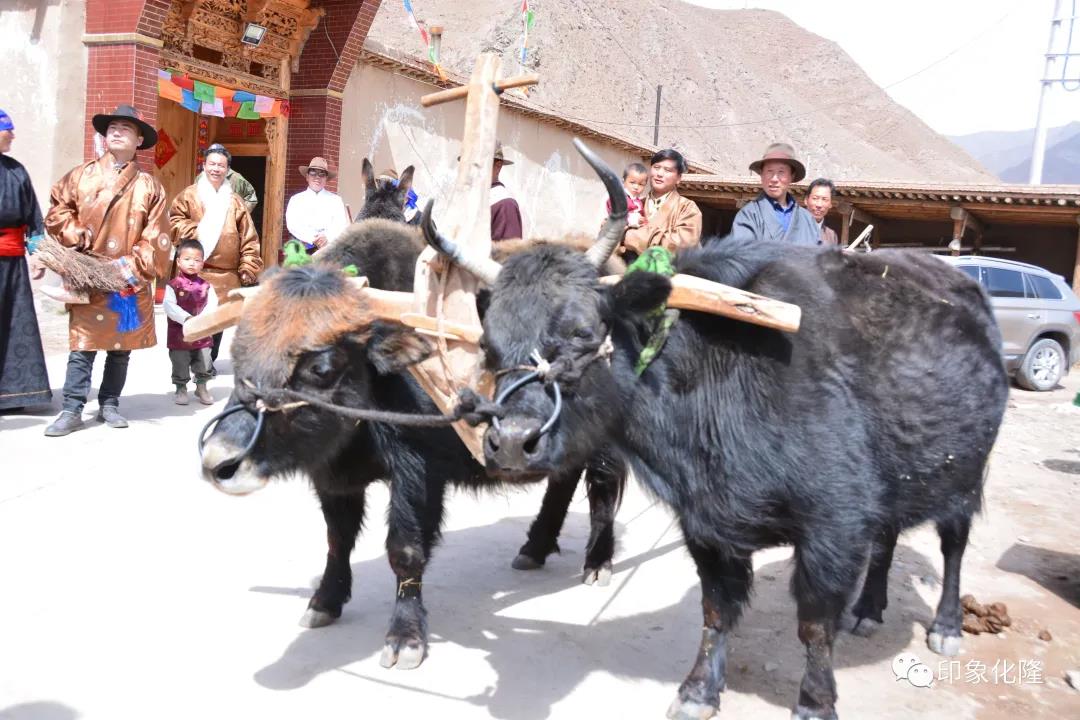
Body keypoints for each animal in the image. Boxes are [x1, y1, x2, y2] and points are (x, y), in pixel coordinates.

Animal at [199, 213, 625, 670]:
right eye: (239, 351)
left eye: (320, 367)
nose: (219, 462)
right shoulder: (334, 479)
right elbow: (338, 538)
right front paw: (324, 602)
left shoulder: (417, 472)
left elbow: (404, 549)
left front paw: (405, 639)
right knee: (563, 481)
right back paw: (534, 548)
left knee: (602, 487)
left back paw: (597, 563)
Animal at [422, 141, 1009, 719]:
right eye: (488, 344)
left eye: (583, 332)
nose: (512, 443)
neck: (716, 366)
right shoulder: (707, 524)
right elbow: (717, 609)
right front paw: (698, 691)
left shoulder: (833, 525)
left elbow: (814, 624)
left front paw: (815, 703)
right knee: (888, 539)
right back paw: (867, 609)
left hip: (965, 476)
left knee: (953, 545)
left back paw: (946, 627)